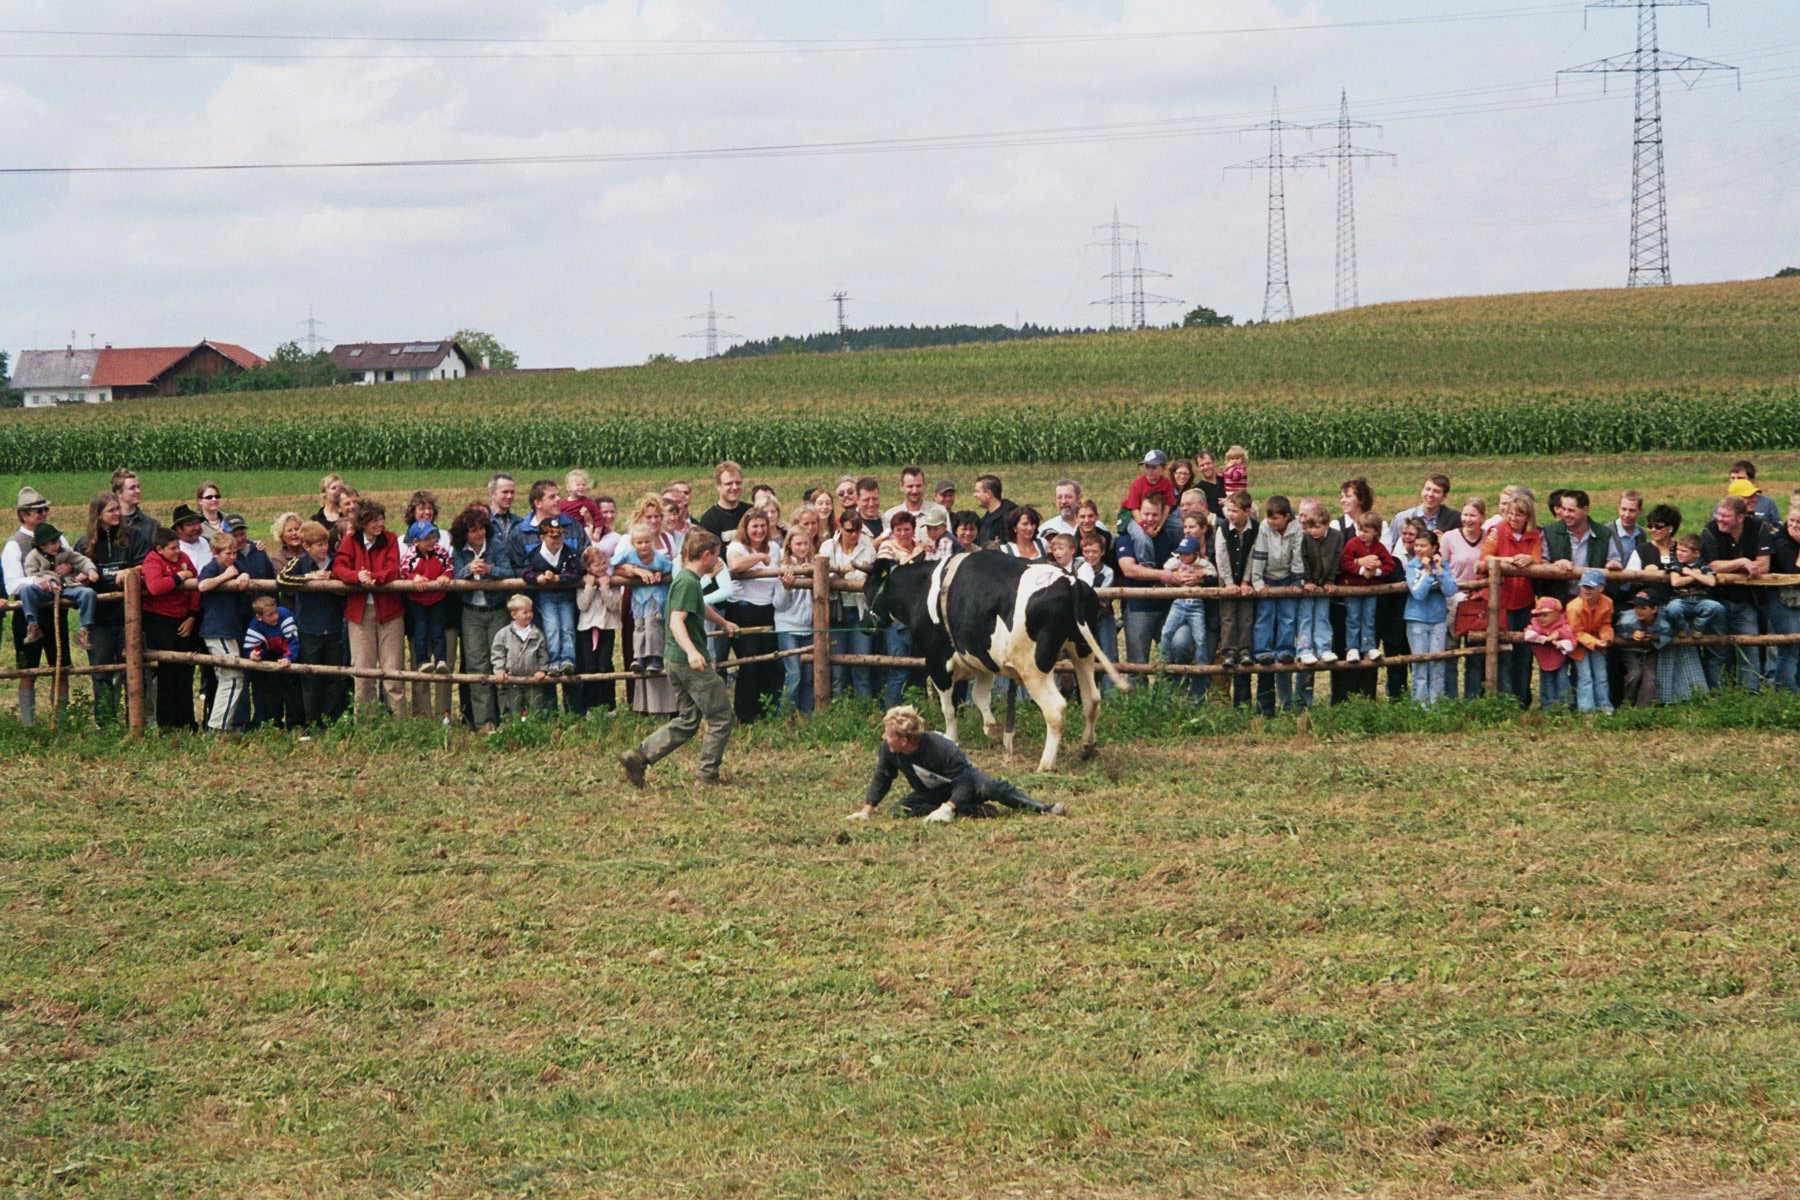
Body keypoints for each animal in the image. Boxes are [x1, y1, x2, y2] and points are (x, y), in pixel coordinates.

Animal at [862, 551, 1127, 772]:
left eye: (866, 590)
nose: (865, 625)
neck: (922, 589)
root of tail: (1069, 581)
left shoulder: (936, 661)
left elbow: (948, 707)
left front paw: (952, 737)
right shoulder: (983, 660)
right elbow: (980, 696)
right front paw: (994, 730)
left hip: (1035, 668)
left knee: (1056, 709)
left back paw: (1045, 764)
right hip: (1082, 651)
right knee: (1092, 699)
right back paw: (1086, 747)